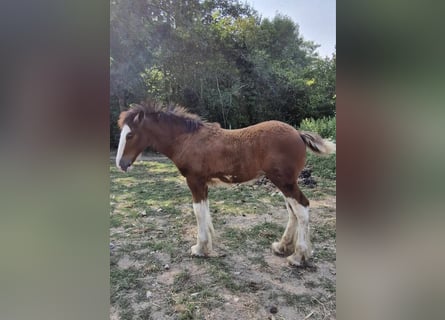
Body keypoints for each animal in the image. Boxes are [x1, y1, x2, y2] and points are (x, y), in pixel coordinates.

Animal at [116, 102, 334, 264]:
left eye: (130, 134)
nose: (121, 164)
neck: (187, 140)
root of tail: (298, 133)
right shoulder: (202, 183)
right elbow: (204, 211)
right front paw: (206, 246)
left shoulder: (194, 180)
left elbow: (198, 212)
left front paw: (199, 248)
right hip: (283, 182)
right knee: (293, 211)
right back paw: (282, 247)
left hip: (285, 182)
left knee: (302, 208)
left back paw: (298, 256)